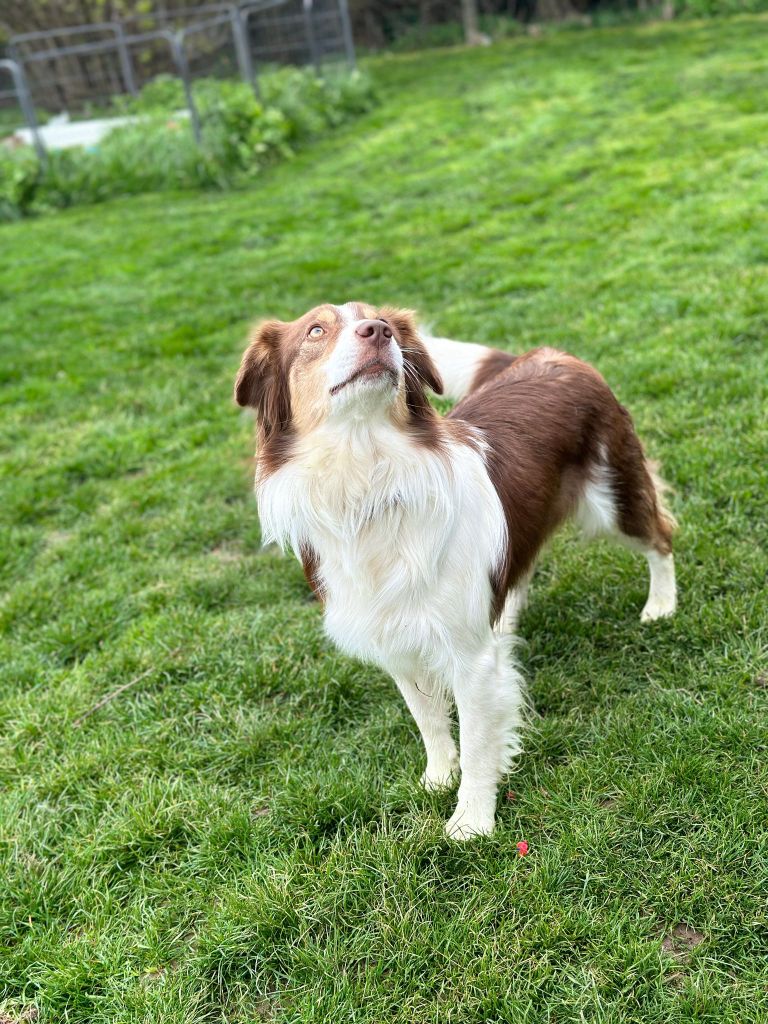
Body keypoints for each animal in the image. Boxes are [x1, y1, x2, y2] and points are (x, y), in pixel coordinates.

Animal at [236, 301, 679, 839]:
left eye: (381, 322)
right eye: (316, 331)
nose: (378, 331)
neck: (366, 482)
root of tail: (552, 353)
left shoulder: (470, 657)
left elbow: (478, 741)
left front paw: (471, 820)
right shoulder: (395, 639)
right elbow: (427, 717)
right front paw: (438, 777)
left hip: (614, 495)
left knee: (660, 535)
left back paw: (661, 604)